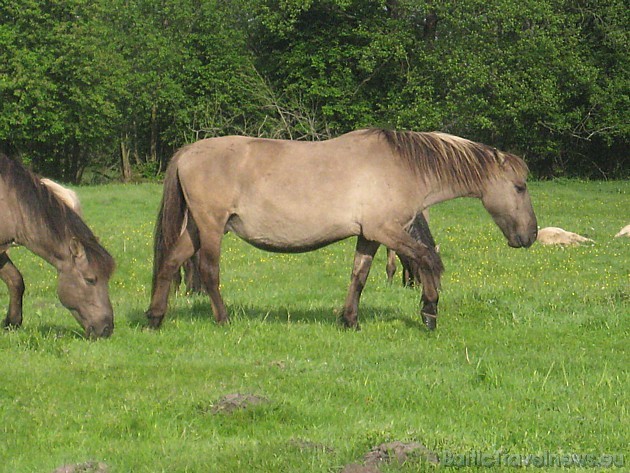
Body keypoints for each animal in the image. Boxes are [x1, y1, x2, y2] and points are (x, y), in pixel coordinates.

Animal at [147, 127, 540, 330]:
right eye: (520, 187)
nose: (531, 235)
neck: (401, 165)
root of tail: (187, 152)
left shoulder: (369, 236)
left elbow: (359, 277)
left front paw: (350, 320)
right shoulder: (387, 231)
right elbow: (427, 258)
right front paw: (429, 311)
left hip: (197, 229)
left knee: (169, 263)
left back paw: (155, 318)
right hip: (211, 228)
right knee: (209, 272)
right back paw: (223, 319)